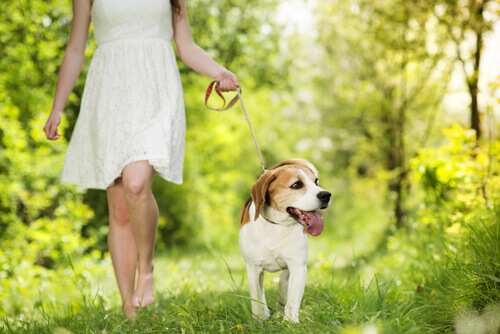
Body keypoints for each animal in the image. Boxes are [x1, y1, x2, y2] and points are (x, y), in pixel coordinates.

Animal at [239, 159, 332, 324]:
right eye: (296, 185)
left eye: (316, 181)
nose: (326, 195)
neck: (277, 226)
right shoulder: (253, 268)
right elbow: (256, 296)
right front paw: (259, 319)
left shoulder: (298, 266)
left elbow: (293, 298)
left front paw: (290, 322)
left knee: (283, 281)